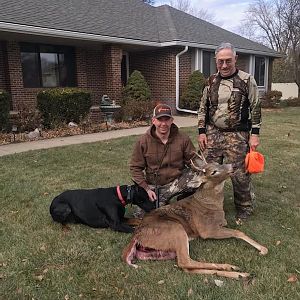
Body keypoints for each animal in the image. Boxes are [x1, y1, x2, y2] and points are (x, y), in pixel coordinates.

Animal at [123, 152, 268, 278]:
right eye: (213, 172)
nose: (232, 165)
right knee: (184, 261)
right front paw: (263, 249)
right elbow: (238, 232)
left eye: (218, 163)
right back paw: (232, 268)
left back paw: (237, 273)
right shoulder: (206, 229)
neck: (213, 204)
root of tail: (136, 236)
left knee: (187, 268)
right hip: (175, 229)